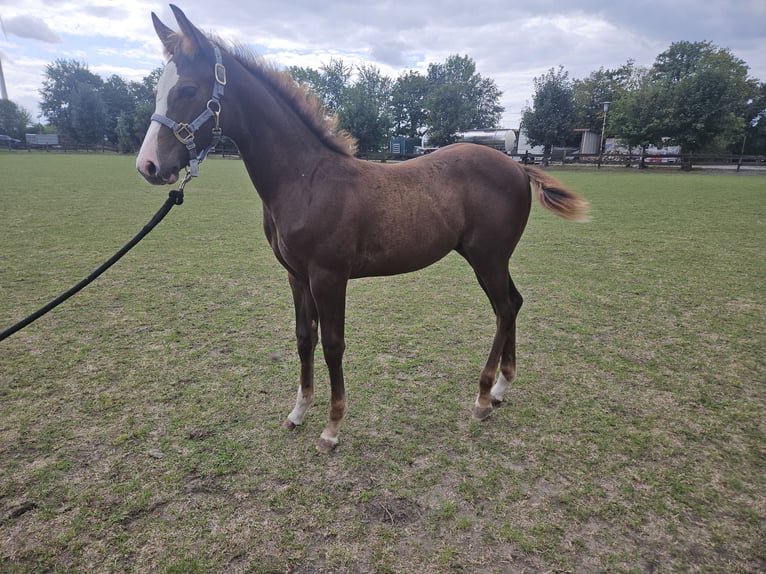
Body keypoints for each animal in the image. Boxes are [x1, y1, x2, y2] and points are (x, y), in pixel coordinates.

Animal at [136, 5, 589, 452]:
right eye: (159, 90)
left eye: (188, 89)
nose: (149, 166)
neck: (306, 179)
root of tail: (517, 166)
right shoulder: (296, 276)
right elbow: (305, 338)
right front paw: (298, 413)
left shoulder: (329, 276)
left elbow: (334, 345)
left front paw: (332, 428)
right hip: (491, 259)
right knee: (513, 304)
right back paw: (500, 390)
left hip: (488, 258)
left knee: (504, 308)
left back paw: (482, 398)